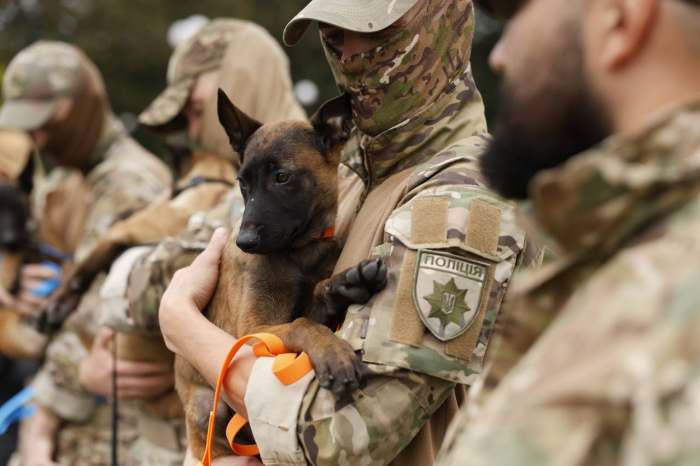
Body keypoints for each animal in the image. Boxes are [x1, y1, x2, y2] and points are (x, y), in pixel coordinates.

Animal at [172, 91, 386, 458]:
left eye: (282, 177)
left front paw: (346, 283)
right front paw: (333, 353)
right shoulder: (253, 330)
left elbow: (314, 303)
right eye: (242, 182)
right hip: (203, 405)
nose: (244, 242)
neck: (297, 253)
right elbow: (302, 325)